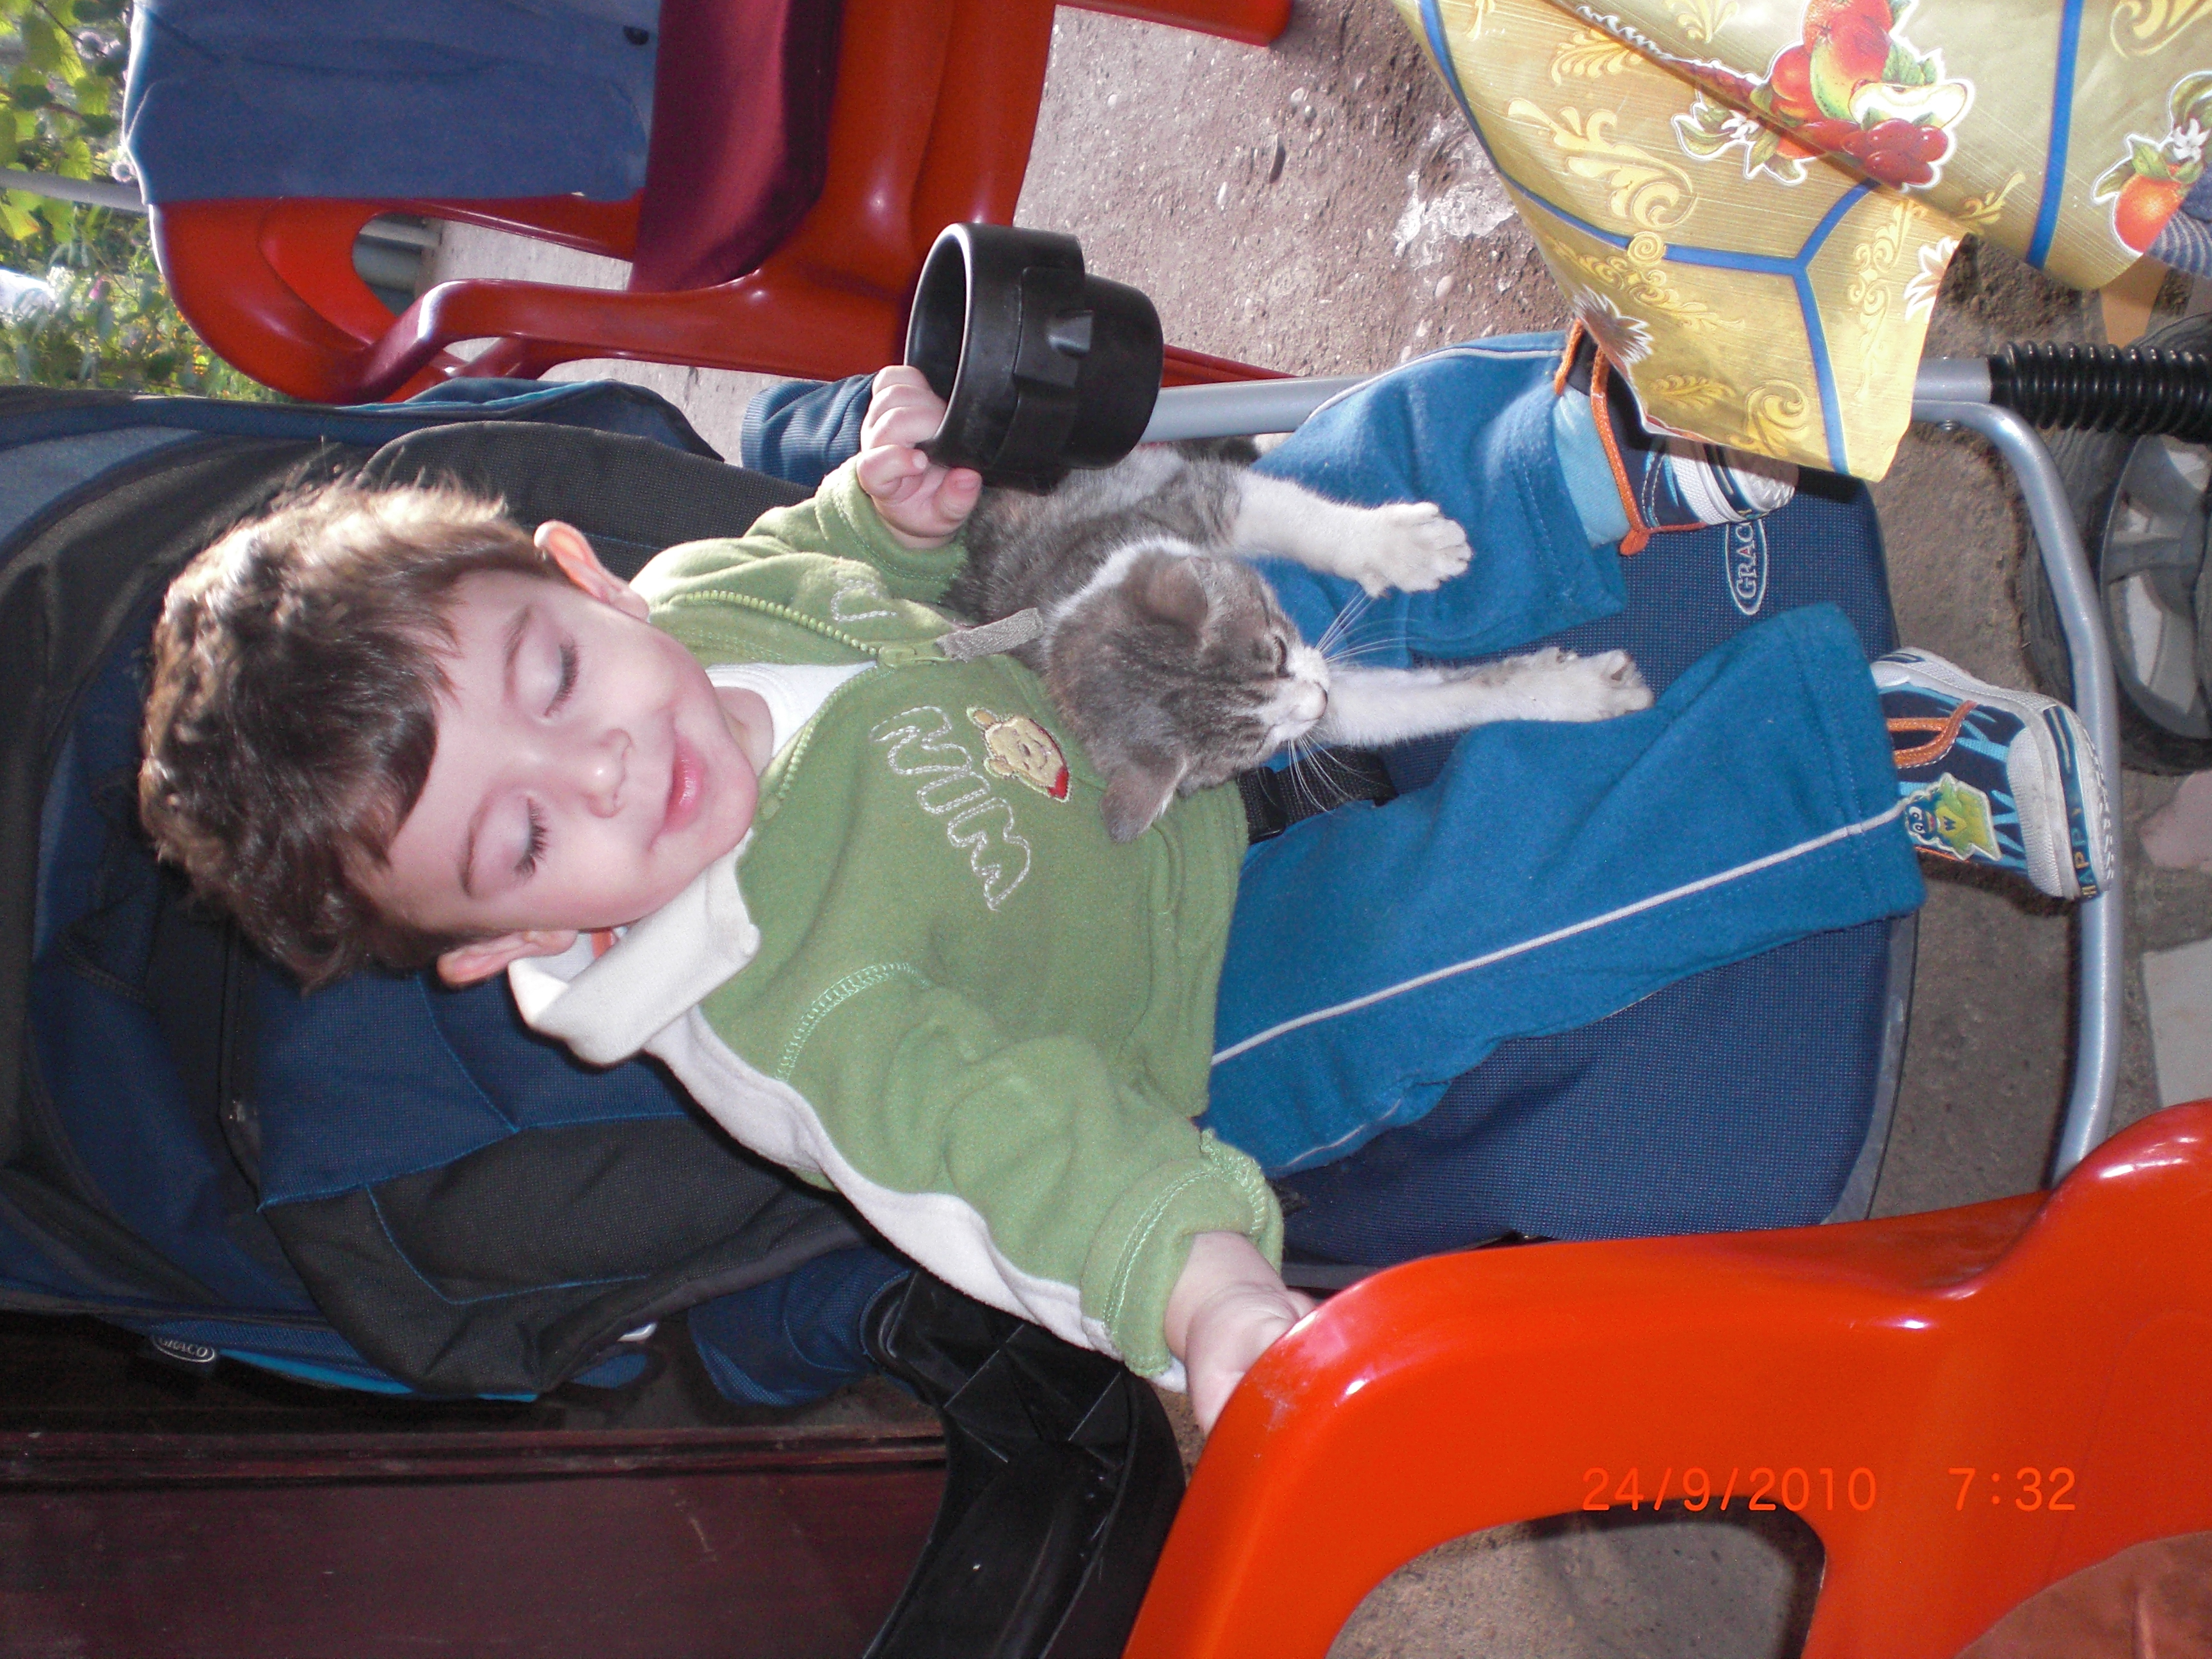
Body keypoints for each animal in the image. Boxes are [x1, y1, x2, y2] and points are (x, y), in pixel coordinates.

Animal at [946, 442, 1653, 842]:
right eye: (1256, 746)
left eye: (1278, 652)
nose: (1317, 699)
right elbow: (1417, 706)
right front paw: (1576, 692)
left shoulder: (1187, 497)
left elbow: (1297, 517)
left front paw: (1405, 547)